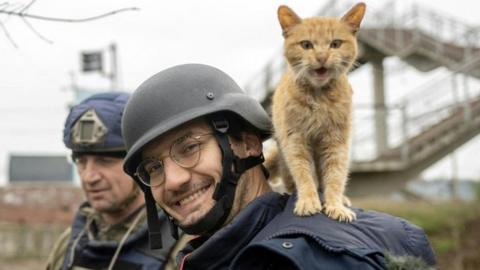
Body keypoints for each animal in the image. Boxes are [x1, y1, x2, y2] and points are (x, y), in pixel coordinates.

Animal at [268, 2, 366, 221]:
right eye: (306, 45)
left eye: (335, 44)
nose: (322, 56)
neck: (318, 98)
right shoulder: (295, 141)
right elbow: (304, 175)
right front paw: (308, 201)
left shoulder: (336, 142)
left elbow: (335, 177)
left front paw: (336, 205)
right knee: (291, 181)